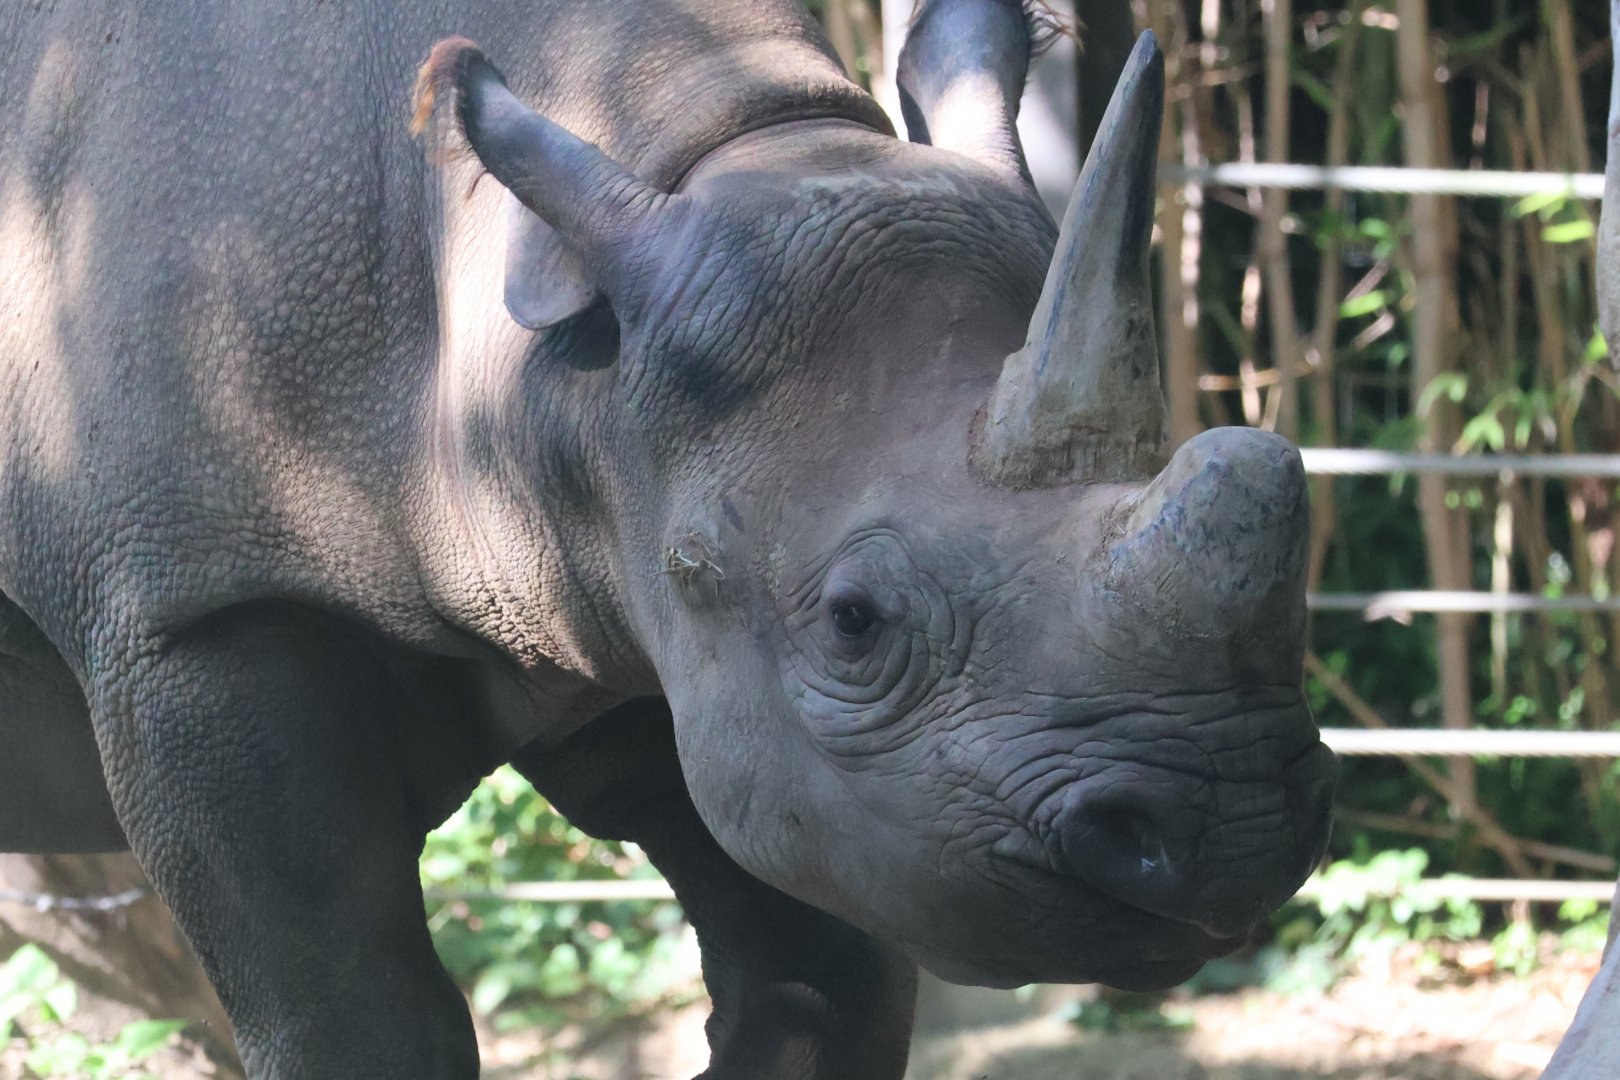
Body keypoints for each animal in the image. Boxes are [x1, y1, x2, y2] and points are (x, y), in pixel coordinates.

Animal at [0, 0, 1335, 1075]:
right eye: (855, 623)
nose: (1231, 826)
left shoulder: (643, 617)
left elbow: (828, 981)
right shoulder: (194, 610)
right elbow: (360, 1024)